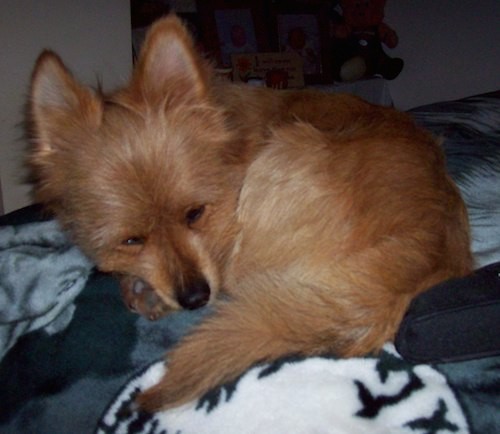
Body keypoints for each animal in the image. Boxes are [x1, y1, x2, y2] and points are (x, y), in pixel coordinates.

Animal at [27, 15, 472, 412]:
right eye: (131, 240)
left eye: (195, 213)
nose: (195, 297)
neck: (228, 141)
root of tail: (417, 252)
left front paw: (140, 289)